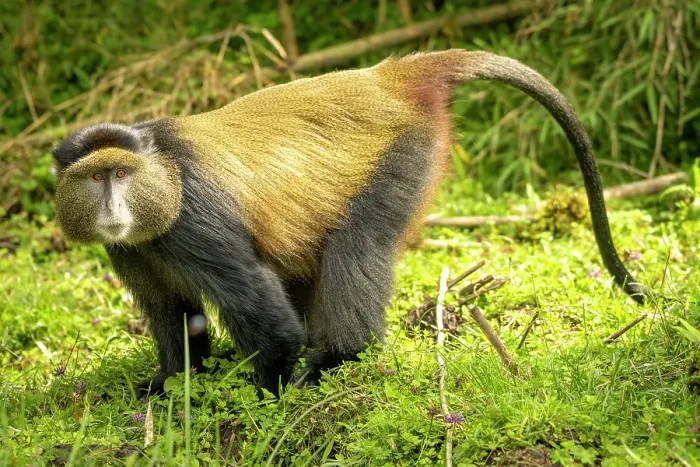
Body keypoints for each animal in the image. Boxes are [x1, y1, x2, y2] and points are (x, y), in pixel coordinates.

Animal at [52, 50, 648, 398]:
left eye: (121, 174)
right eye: (96, 177)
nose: (114, 210)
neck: (162, 176)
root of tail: (384, 78)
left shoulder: (193, 220)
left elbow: (267, 315)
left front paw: (269, 394)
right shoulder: (131, 249)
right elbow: (173, 312)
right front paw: (173, 384)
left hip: (403, 156)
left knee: (356, 246)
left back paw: (339, 357)